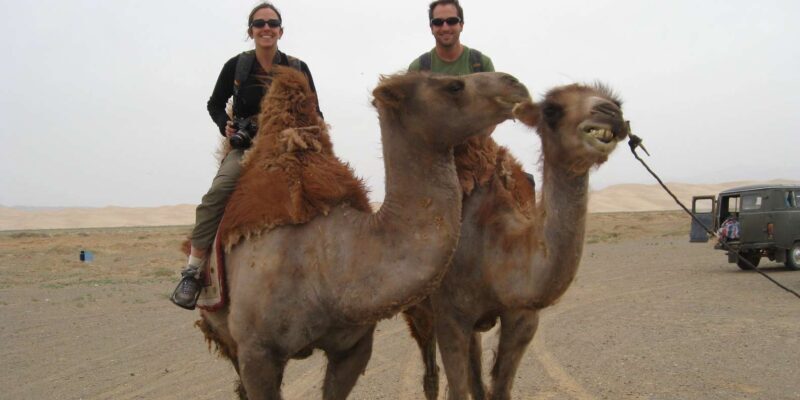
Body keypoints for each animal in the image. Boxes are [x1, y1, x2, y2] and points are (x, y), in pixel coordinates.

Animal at [195, 68, 530, 399]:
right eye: (454, 86)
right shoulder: (258, 353)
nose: (515, 84)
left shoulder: (353, 348)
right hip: (223, 333)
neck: (328, 266)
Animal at [403, 83, 629, 400]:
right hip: (416, 308)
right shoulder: (450, 316)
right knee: (431, 374)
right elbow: (458, 388)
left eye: (617, 103)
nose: (609, 112)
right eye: (551, 110)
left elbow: (497, 390)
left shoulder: (522, 318)